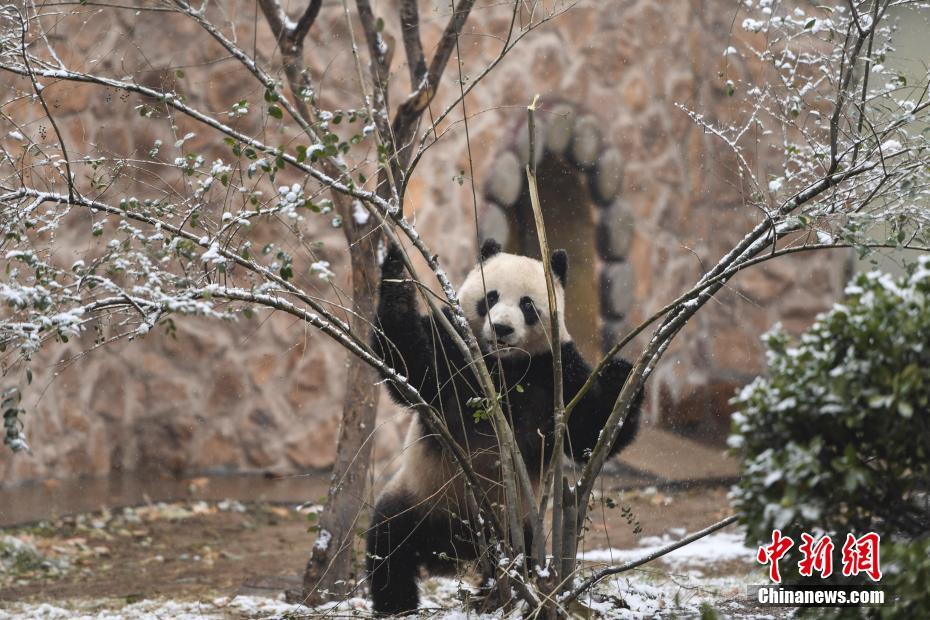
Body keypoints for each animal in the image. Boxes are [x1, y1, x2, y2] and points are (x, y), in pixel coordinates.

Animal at [366, 240, 640, 612]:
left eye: (527, 304)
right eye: (491, 297)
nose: (502, 329)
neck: (503, 366)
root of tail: (454, 551)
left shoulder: (555, 371)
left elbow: (586, 433)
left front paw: (621, 375)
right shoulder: (454, 347)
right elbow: (410, 364)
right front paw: (396, 262)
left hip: (517, 525)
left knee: (520, 561)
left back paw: (501, 596)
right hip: (421, 498)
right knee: (389, 545)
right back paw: (398, 605)